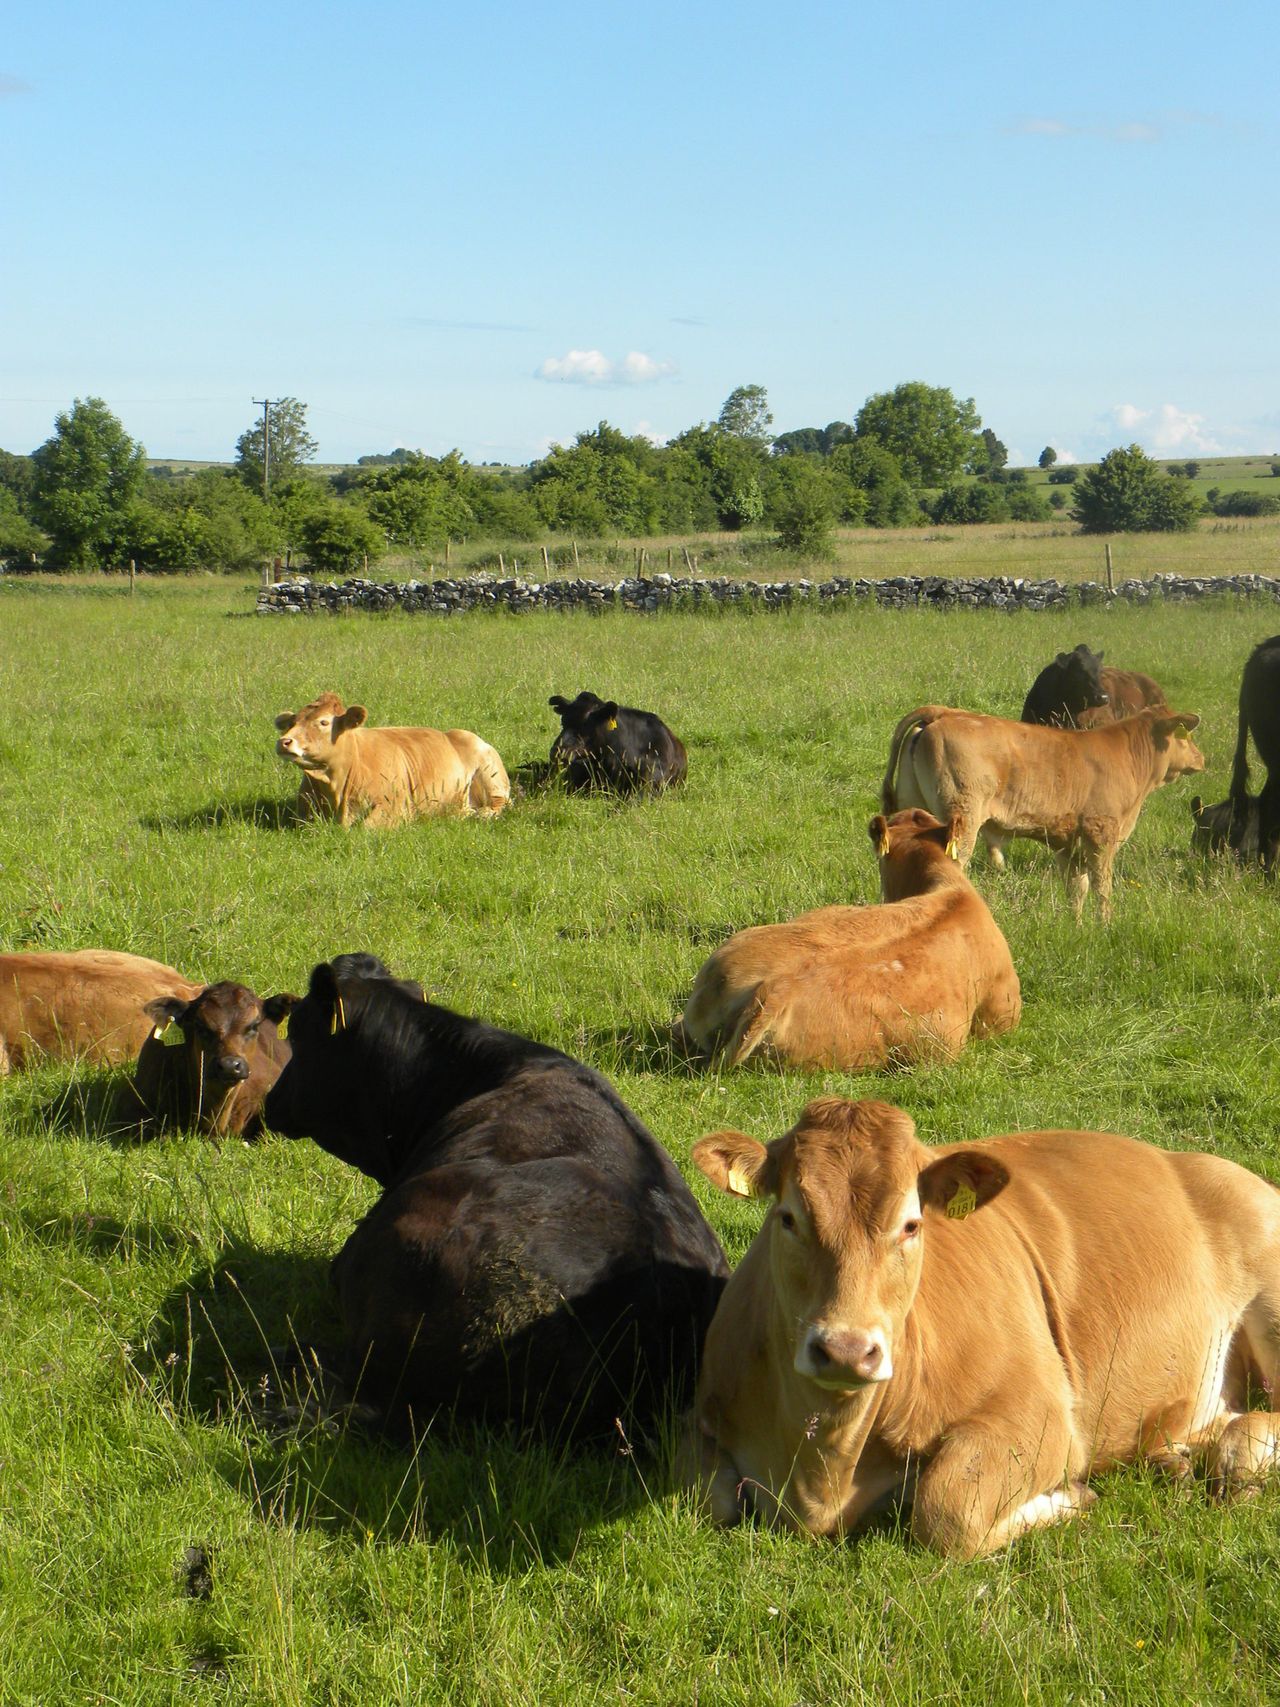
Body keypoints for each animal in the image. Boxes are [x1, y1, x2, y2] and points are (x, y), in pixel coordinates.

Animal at [274, 693, 510, 826]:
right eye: (292, 722)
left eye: (323, 722)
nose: (284, 741)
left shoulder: (395, 805)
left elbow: (366, 828)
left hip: (491, 778)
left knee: (497, 806)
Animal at [686, 1095, 1280, 1557]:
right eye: (787, 1218)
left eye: (911, 1224)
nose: (846, 1350)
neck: (821, 1469)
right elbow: (706, 1497)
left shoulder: (1041, 1416)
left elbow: (947, 1509)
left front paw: (1071, 1497)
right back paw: (1175, 1459)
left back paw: (1239, 1454)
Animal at [882, 704, 1204, 918]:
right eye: (1186, 736)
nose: (1201, 759)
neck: (1127, 755)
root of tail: (943, 712)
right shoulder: (1100, 833)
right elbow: (1102, 886)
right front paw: (1105, 924)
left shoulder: (1068, 843)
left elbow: (1077, 888)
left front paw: (1077, 926)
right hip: (961, 822)